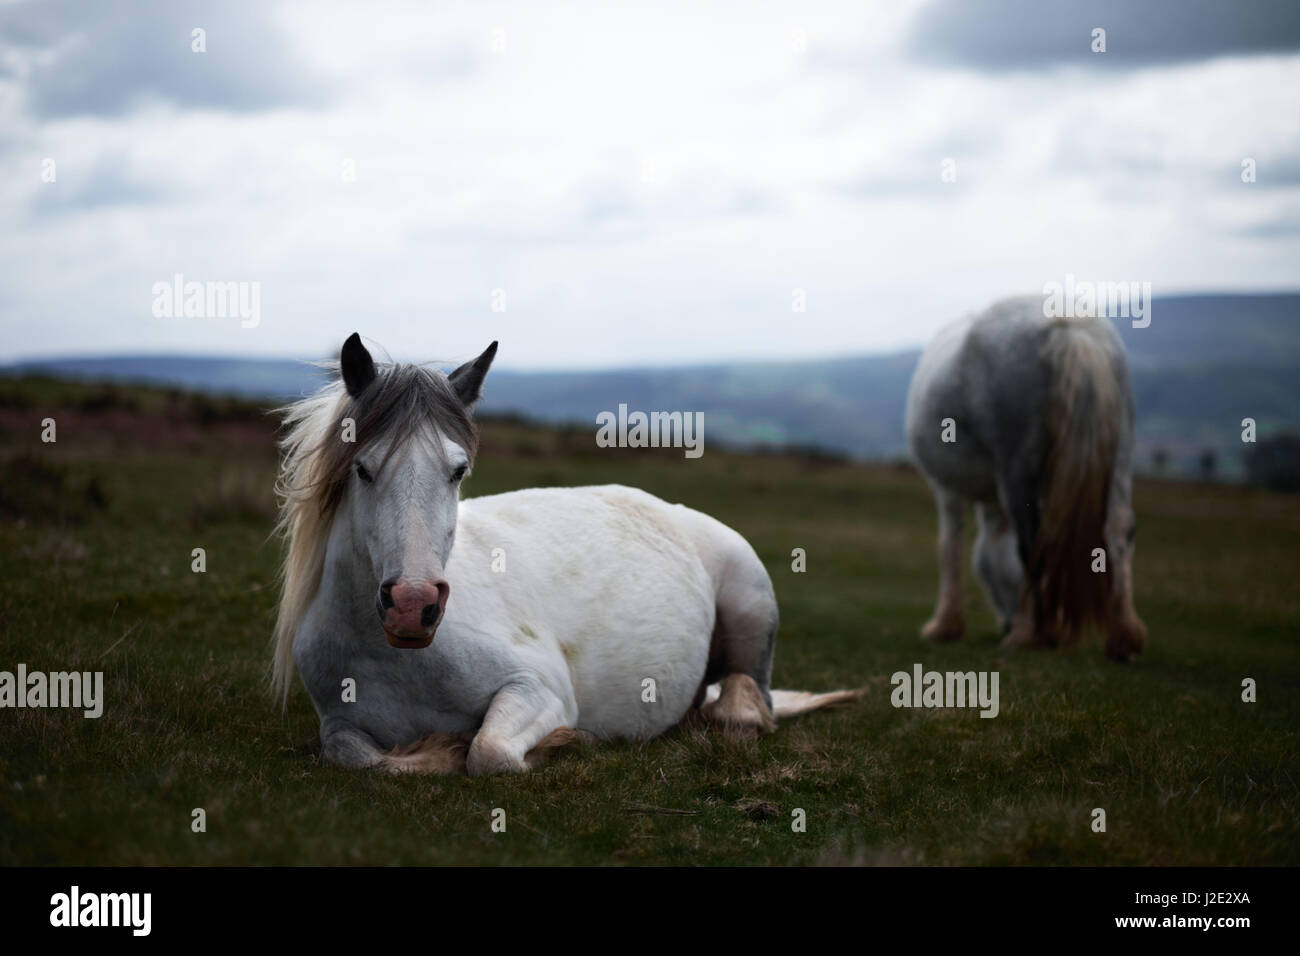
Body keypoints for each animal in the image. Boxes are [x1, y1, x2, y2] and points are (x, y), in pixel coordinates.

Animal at [272, 333, 859, 775]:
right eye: (363, 469)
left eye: (458, 471)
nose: (414, 606)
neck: (396, 658)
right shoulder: (338, 724)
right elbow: (360, 757)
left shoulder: (539, 691)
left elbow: (488, 752)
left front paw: (559, 743)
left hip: (749, 604)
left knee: (746, 706)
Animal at [904, 296, 1147, 660]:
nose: (1005, 623)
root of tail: (1068, 327)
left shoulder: (946, 490)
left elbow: (951, 548)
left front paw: (944, 626)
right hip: (1120, 457)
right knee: (1118, 530)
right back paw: (1122, 639)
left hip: (1016, 473)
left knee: (1032, 542)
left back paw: (1029, 635)